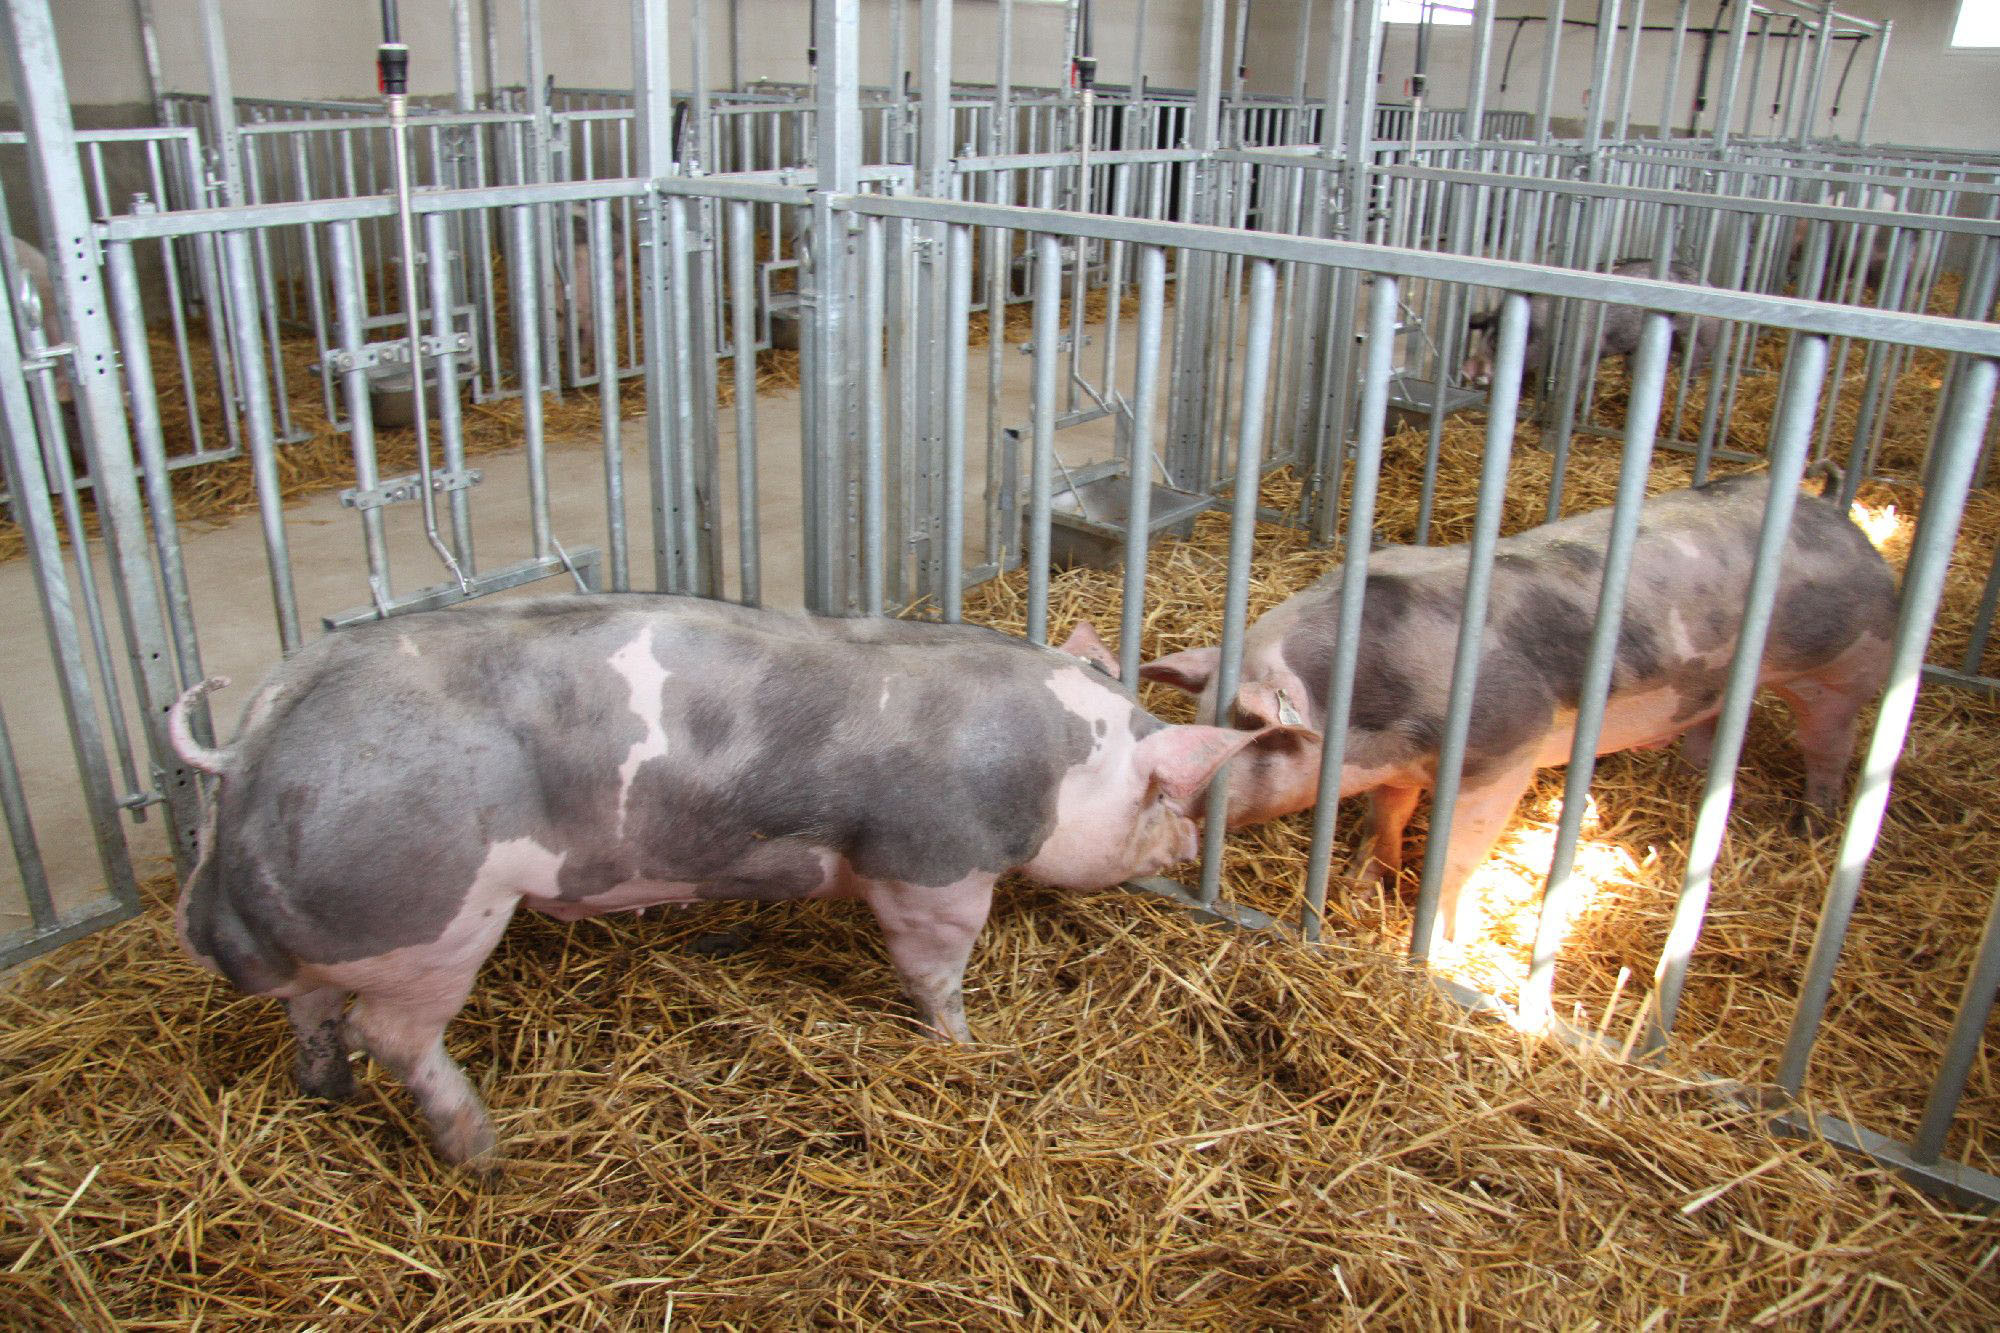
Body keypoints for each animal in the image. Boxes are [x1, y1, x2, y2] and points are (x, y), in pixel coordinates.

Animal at [164, 592, 1272, 1160]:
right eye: (1168, 791)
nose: (1185, 852)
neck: (1056, 759)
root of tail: (253, 739)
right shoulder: (931, 864)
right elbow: (934, 969)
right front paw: (963, 1048)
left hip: (333, 924)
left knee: (314, 1010)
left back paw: (325, 1093)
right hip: (432, 920)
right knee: (391, 1034)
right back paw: (480, 1147)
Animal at [1144, 466, 1888, 944]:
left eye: (1245, 732)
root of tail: (1832, 512)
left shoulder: (1507, 747)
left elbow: (1457, 852)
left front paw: (1439, 944)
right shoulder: (1395, 766)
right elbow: (1389, 816)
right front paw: (1361, 885)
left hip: (1840, 668)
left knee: (1829, 743)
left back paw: (1813, 826)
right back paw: (1693, 779)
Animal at [1456, 256, 1720, 394]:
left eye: (1497, 340)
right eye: (1483, 332)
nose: (1466, 368)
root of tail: (1708, 282)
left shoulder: (1584, 354)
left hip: (1700, 339)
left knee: (1693, 367)